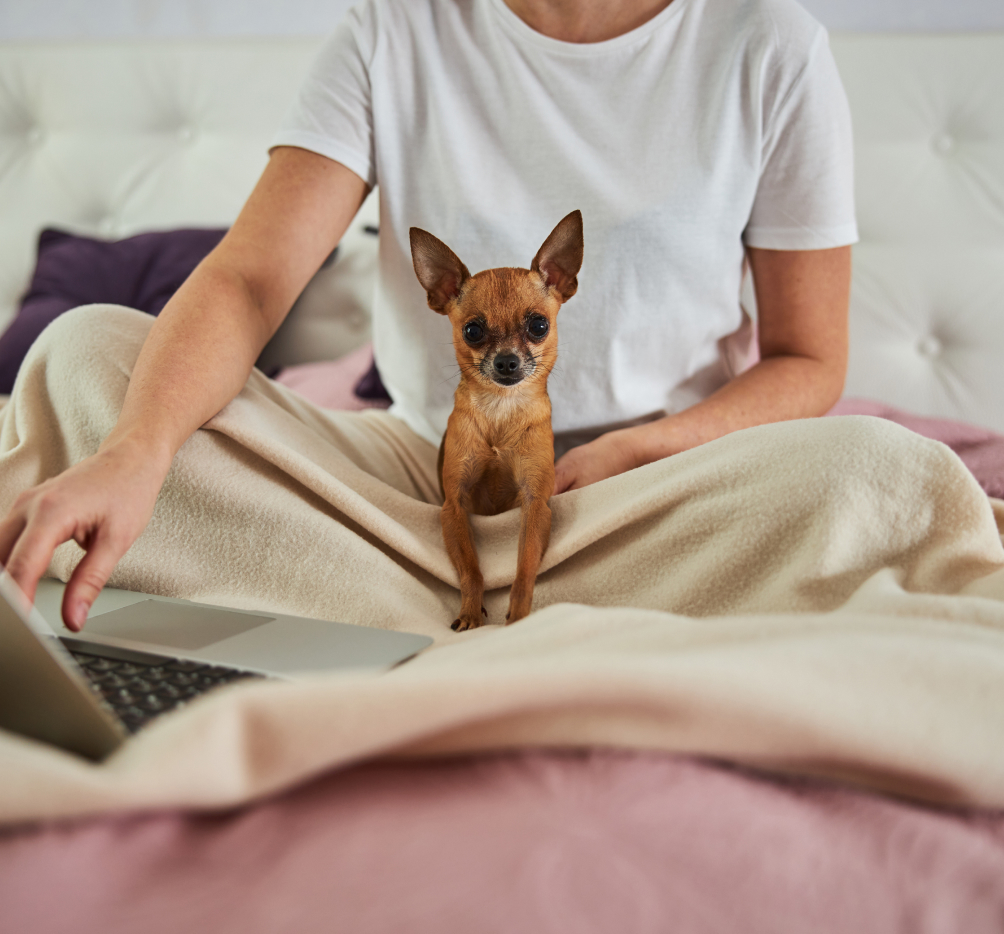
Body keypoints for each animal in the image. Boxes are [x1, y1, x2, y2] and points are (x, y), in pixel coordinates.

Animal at [405, 208, 582, 634]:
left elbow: (525, 567)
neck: (501, 410)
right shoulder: (454, 506)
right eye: (473, 330)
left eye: (538, 325)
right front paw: (470, 611)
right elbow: (471, 570)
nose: (506, 362)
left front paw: (519, 615)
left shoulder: (535, 504)